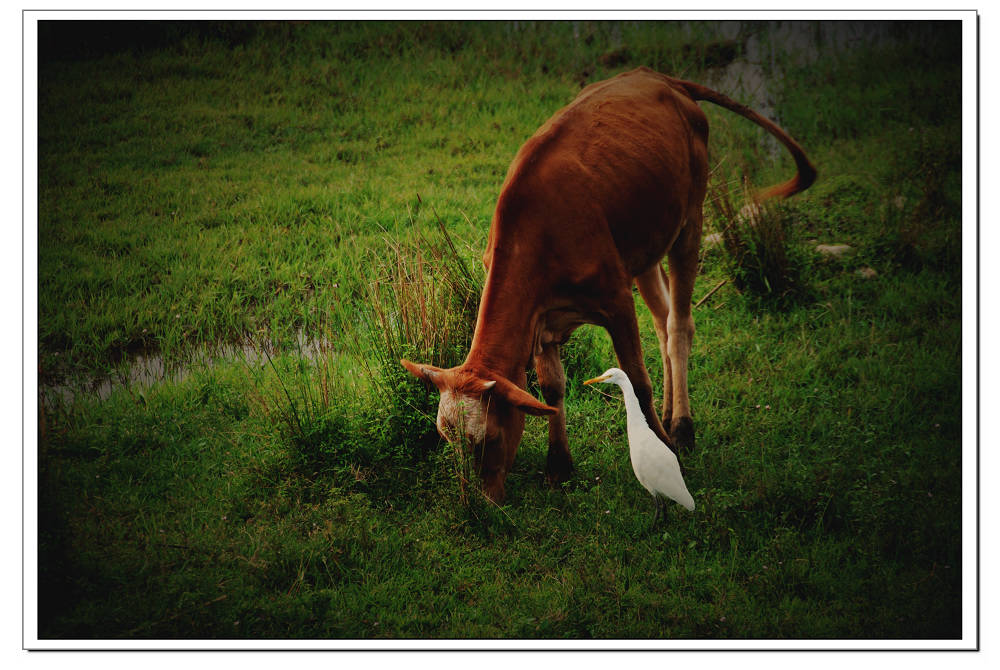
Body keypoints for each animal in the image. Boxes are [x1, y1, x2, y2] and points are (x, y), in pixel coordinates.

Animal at [402, 65, 816, 504]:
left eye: (489, 439)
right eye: (448, 441)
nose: (482, 502)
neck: (536, 232)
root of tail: (662, 78)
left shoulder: (616, 300)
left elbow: (637, 379)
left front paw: (665, 452)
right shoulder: (542, 320)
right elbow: (552, 388)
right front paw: (559, 466)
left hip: (690, 220)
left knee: (678, 325)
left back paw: (681, 427)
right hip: (645, 247)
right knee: (662, 319)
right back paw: (668, 415)